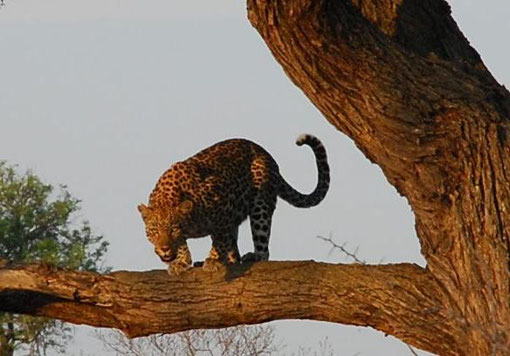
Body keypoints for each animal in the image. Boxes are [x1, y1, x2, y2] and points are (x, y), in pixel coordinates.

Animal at [139, 134, 330, 276]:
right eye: (154, 231)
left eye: (173, 230)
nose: (164, 249)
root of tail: (267, 155)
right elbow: (188, 245)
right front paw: (182, 261)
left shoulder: (223, 209)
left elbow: (219, 241)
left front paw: (213, 260)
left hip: (260, 205)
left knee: (263, 245)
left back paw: (254, 256)